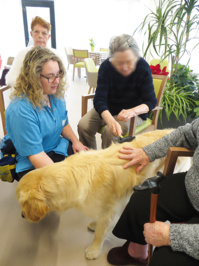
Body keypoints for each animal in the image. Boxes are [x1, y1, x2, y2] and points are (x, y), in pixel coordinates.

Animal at [15, 130, 190, 258]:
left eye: (23, 203)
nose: (22, 216)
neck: (75, 175)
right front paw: (94, 223)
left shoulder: (109, 211)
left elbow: (100, 233)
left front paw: (93, 250)